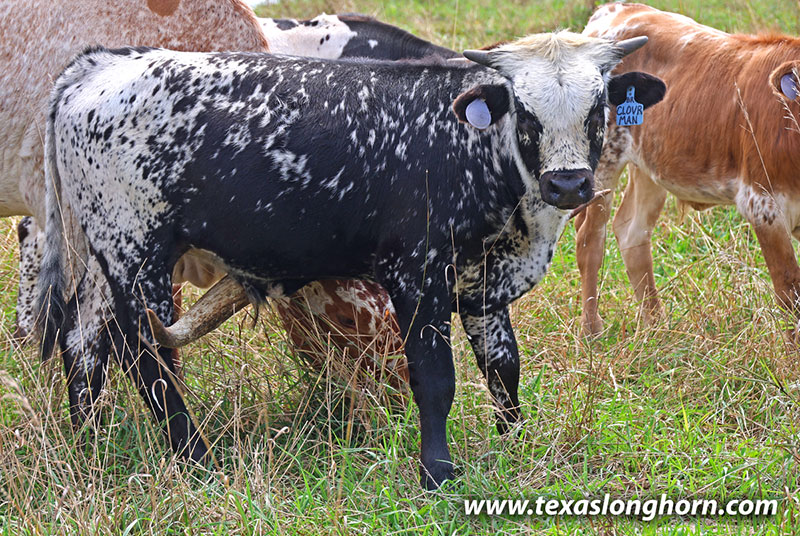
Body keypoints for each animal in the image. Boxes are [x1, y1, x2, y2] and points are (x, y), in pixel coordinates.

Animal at [38, 34, 665, 488]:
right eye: (527, 115)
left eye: (597, 109)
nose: (569, 184)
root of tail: (99, 65)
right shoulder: (418, 279)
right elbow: (435, 379)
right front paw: (437, 473)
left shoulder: (483, 287)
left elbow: (503, 371)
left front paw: (516, 447)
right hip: (136, 252)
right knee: (148, 356)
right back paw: (193, 458)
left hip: (104, 258)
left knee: (83, 341)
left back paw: (90, 442)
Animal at [575, 2, 800, 337]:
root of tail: (618, 9)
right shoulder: (763, 205)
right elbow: (789, 289)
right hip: (602, 166)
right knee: (590, 240)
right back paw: (592, 332)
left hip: (650, 165)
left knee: (631, 233)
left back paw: (656, 328)